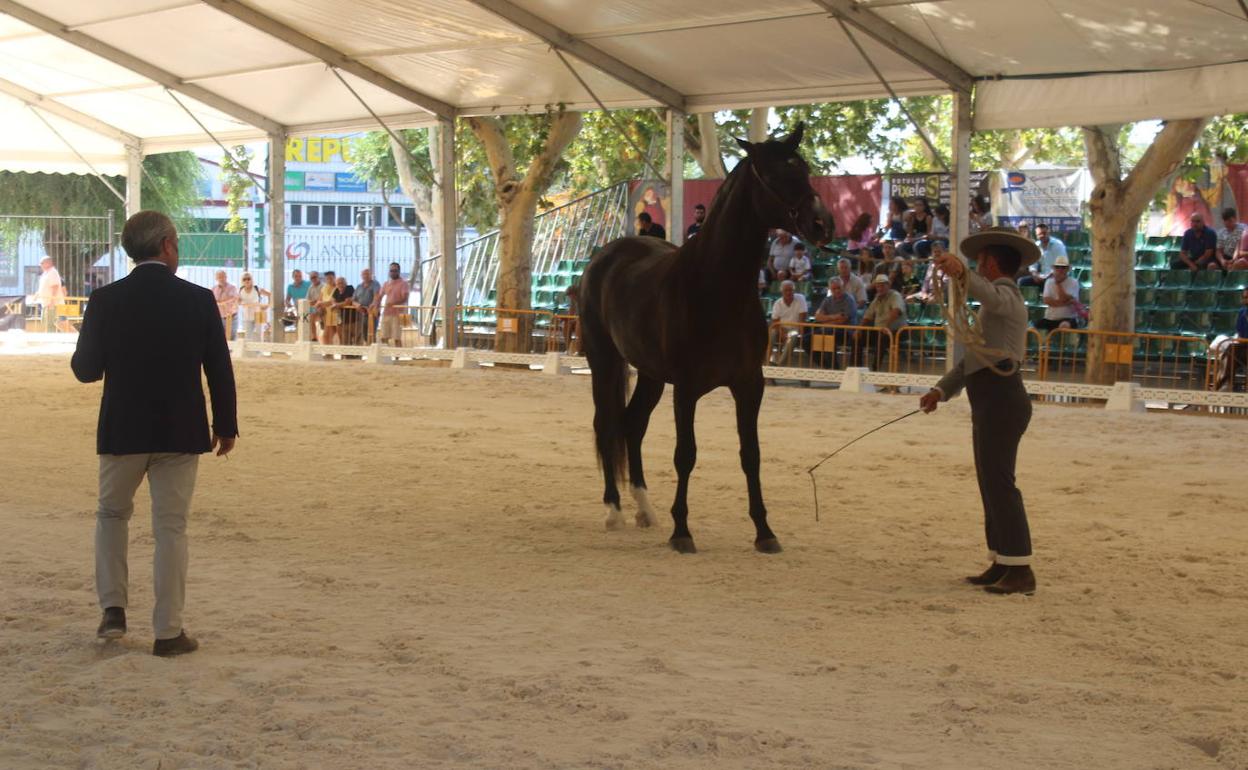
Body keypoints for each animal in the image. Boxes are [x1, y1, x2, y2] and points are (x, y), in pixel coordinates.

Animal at [579, 126, 833, 551]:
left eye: (804, 169)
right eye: (775, 173)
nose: (822, 224)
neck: (716, 288)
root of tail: (605, 254)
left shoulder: (750, 384)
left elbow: (751, 454)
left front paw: (765, 532)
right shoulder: (686, 388)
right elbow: (686, 454)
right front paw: (682, 531)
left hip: (650, 374)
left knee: (632, 424)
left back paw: (644, 509)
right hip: (604, 361)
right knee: (606, 424)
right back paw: (613, 510)